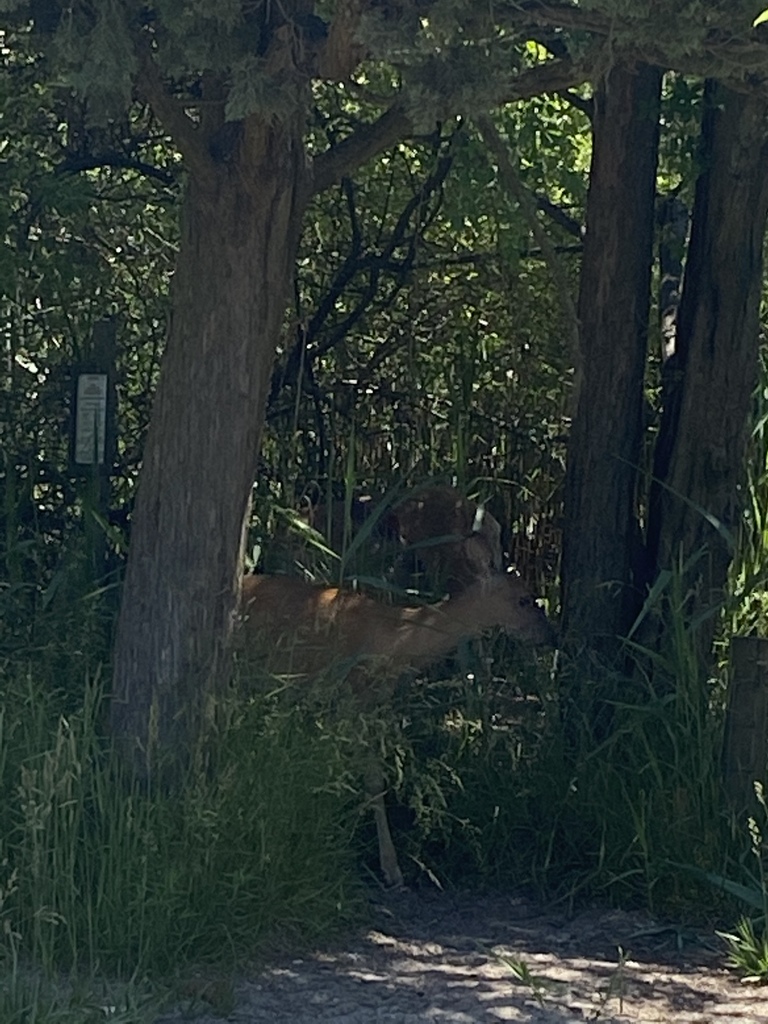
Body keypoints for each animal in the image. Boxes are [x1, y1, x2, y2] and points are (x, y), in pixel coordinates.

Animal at [239, 568, 555, 888]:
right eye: (523, 600)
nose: (549, 636)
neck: (396, 638)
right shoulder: (350, 696)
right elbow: (349, 773)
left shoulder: (368, 704)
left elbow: (355, 775)